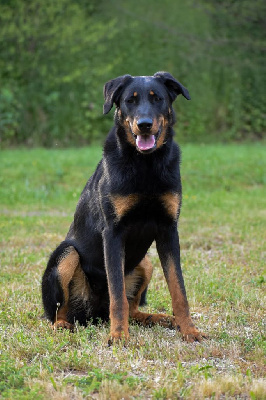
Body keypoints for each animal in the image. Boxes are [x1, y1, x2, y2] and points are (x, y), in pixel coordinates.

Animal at [41, 70, 206, 342]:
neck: (146, 165)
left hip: (145, 263)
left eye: (157, 98)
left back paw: (159, 319)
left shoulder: (169, 230)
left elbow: (178, 289)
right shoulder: (113, 233)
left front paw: (189, 329)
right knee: (60, 311)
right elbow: (117, 295)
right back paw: (64, 324)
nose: (144, 124)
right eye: (130, 100)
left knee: (134, 308)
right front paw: (119, 335)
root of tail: (95, 313)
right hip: (66, 254)